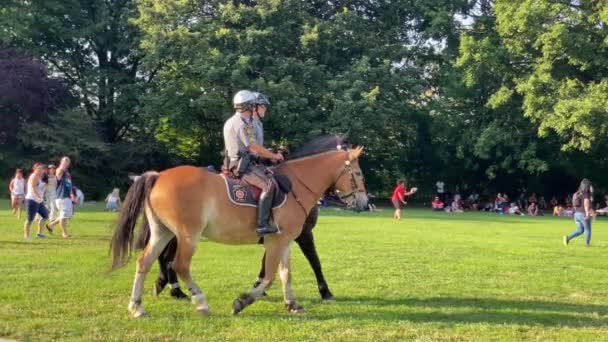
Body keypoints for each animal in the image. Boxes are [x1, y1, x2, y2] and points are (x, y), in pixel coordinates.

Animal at [109, 137, 366, 318]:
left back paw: (137, 306)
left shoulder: (284, 241)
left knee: (145, 262)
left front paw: (292, 304)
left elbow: (285, 274)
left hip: (163, 232)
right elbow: (271, 275)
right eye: (358, 173)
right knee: (179, 265)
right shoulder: (280, 240)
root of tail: (158, 176)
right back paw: (199, 301)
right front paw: (243, 301)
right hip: (187, 235)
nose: (365, 203)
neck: (296, 185)